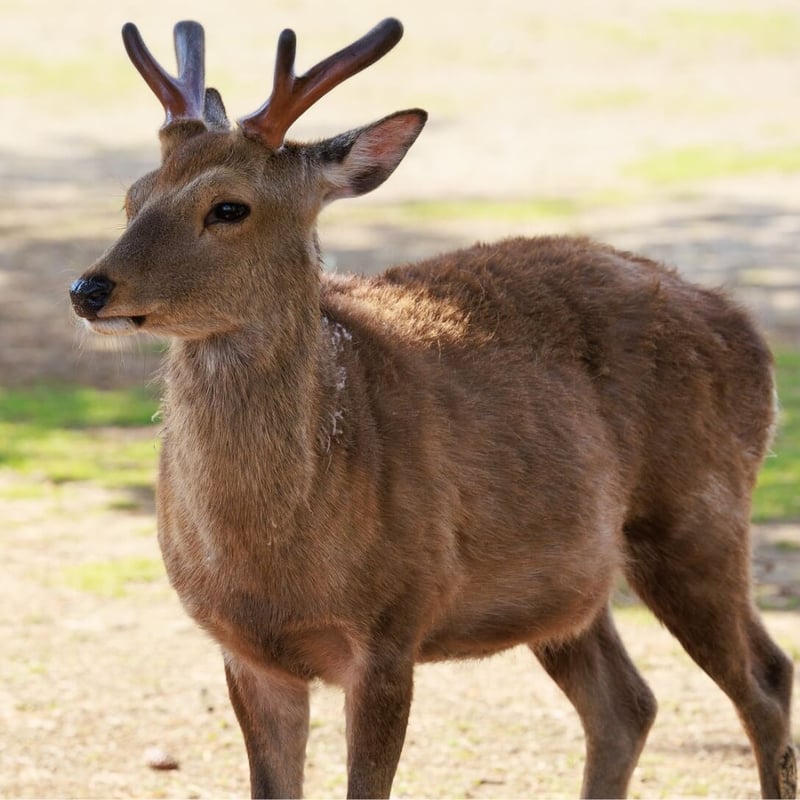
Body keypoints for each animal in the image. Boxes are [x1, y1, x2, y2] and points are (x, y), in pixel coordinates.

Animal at [68, 17, 796, 799]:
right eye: (133, 195)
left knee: (766, 676)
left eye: (228, 206)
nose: (89, 289)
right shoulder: (243, 648)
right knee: (626, 702)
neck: (276, 559)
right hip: (567, 584)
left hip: (699, 513)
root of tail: (746, 328)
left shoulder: (393, 624)